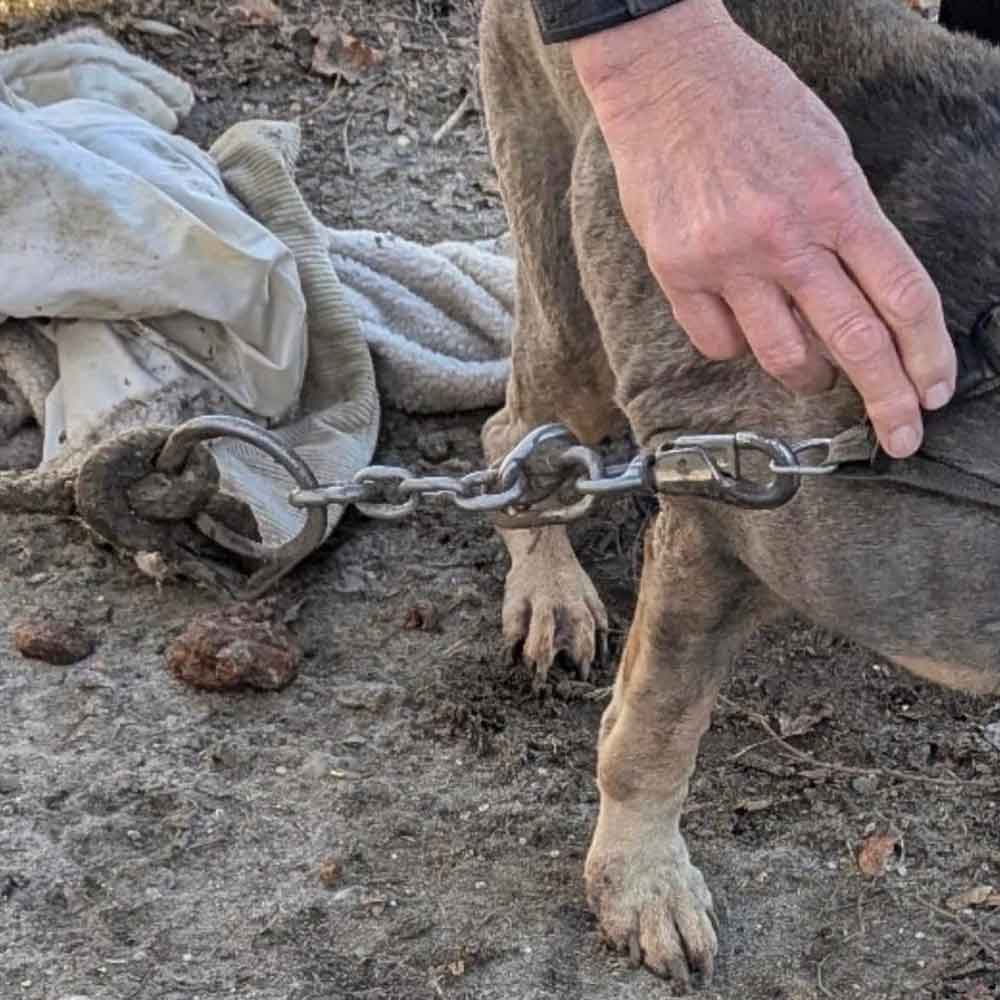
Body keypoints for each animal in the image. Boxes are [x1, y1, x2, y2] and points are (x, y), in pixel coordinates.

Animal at [480, 0, 1000, 984]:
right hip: (571, 305)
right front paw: (641, 884)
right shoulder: (719, 527)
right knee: (513, 434)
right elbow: (655, 730)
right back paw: (549, 590)